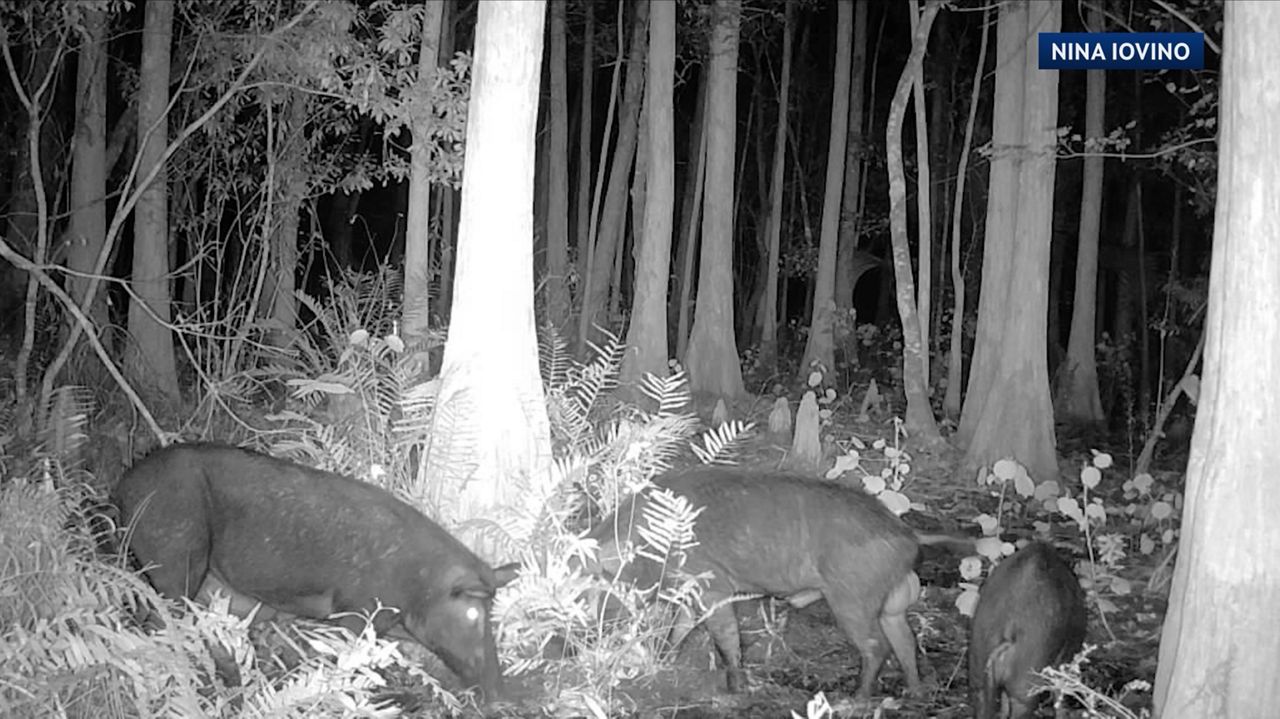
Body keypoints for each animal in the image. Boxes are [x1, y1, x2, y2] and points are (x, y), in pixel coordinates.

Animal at [113, 443, 515, 701]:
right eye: (473, 614)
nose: (501, 695)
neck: (416, 586)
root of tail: (123, 486)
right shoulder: (357, 609)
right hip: (175, 552)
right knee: (159, 622)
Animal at [587, 466, 923, 699]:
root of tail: (909, 536)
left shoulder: (713, 586)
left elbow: (727, 638)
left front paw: (736, 691)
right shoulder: (689, 590)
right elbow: (679, 628)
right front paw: (664, 662)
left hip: (852, 598)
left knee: (877, 647)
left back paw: (855, 699)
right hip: (891, 604)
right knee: (906, 642)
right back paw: (915, 692)